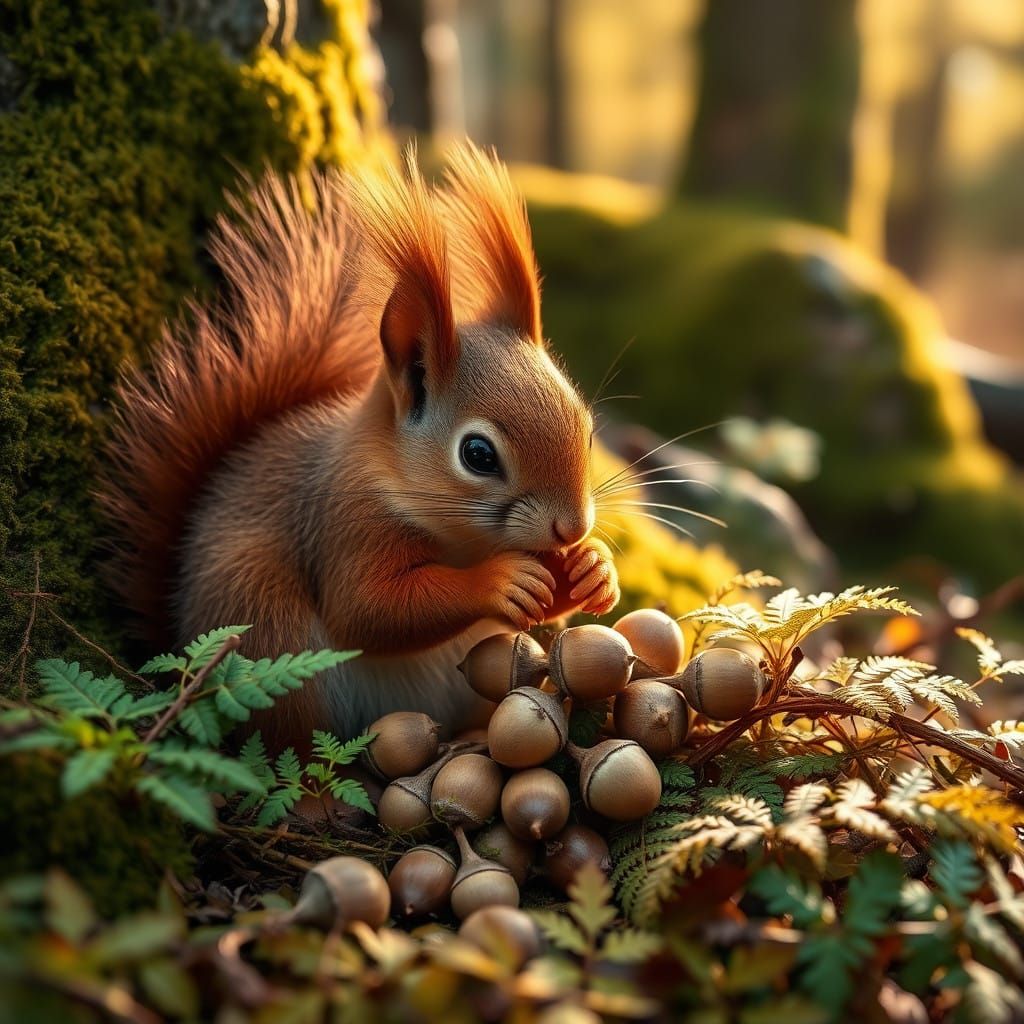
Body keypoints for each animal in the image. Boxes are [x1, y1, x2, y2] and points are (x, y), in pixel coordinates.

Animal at [100, 143, 619, 751]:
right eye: (478, 455)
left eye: (587, 426)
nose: (573, 527)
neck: (462, 540)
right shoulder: (345, 522)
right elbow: (369, 611)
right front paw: (500, 581)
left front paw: (594, 567)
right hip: (268, 629)